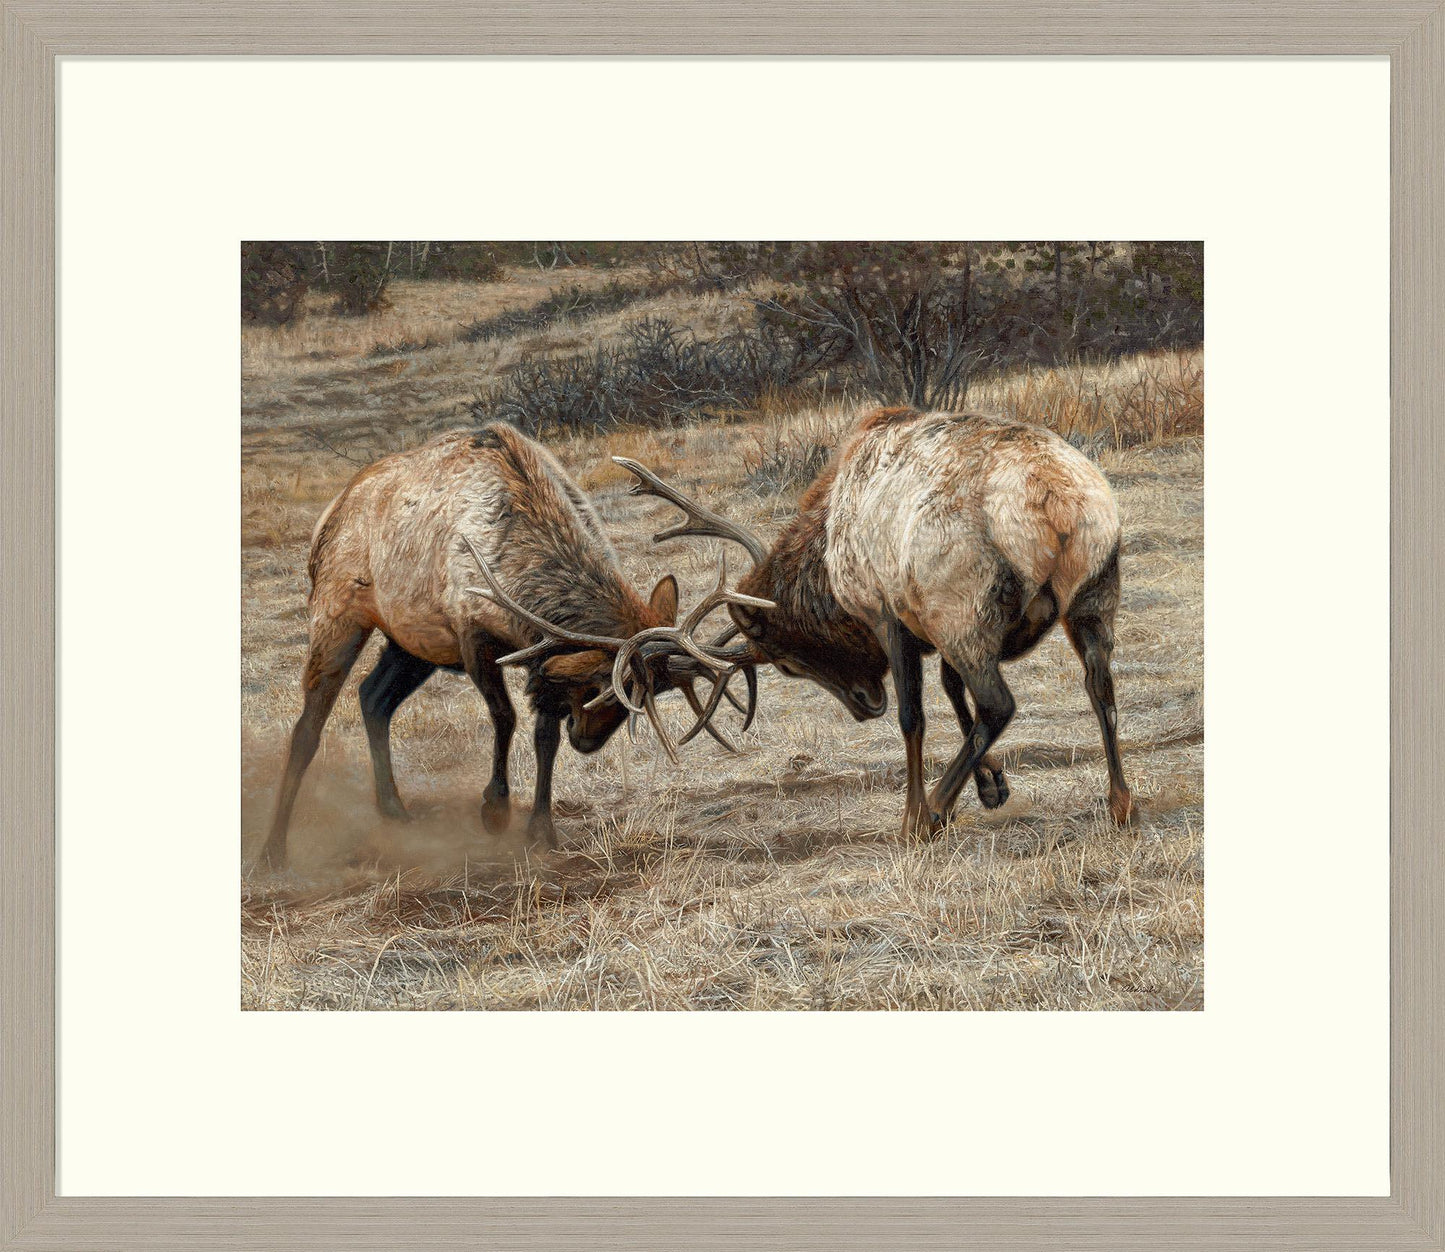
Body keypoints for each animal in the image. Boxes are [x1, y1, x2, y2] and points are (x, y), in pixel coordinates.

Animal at [259, 423, 768, 868]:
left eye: (649, 695)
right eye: (603, 685)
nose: (588, 741)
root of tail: (330, 513)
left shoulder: (538, 655)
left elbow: (544, 737)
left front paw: (541, 829)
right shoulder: (472, 635)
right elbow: (505, 717)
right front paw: (494, 809)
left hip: (412, 644)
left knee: (373, 697)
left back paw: (394, 811)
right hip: (337, 611)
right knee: (308, 726)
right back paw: (273, 850)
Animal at [614, 405, 1132, 838]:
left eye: (785, 663)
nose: (865, 705)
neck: (827, 558)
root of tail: (1057, 503)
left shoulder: (891, 616)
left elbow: (913, 717)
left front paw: (915, 814)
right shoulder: (928, 623)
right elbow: (951, 690)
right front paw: (992, 786)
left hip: (965, 606)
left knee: (998, 703)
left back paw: (933, 811)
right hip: (1093, 595)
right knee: (1100, 686)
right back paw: (1121, 803)